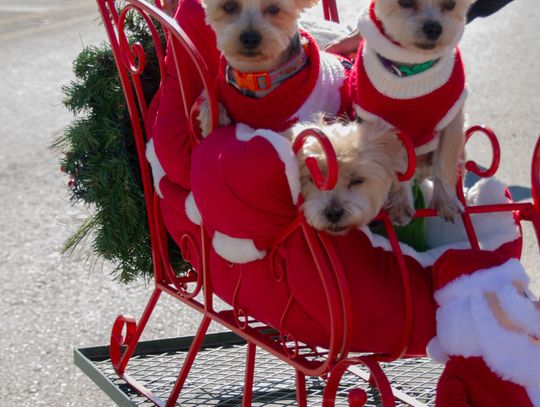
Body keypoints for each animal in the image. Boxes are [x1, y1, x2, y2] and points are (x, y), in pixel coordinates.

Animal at [197, 0, 351, 136]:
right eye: (229, 6)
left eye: (274, 9)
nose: (250, 38)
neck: (256, 75)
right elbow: (209, 103)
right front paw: (213, 120)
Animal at [350, 0, 473, 222]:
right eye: (405, 3)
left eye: (451, 4)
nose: (434, 28)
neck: (412, 68)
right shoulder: (390, 130)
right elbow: (400, 169)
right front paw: (400, 204)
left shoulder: (452, 122)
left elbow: (446, 163)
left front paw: (446, 202)